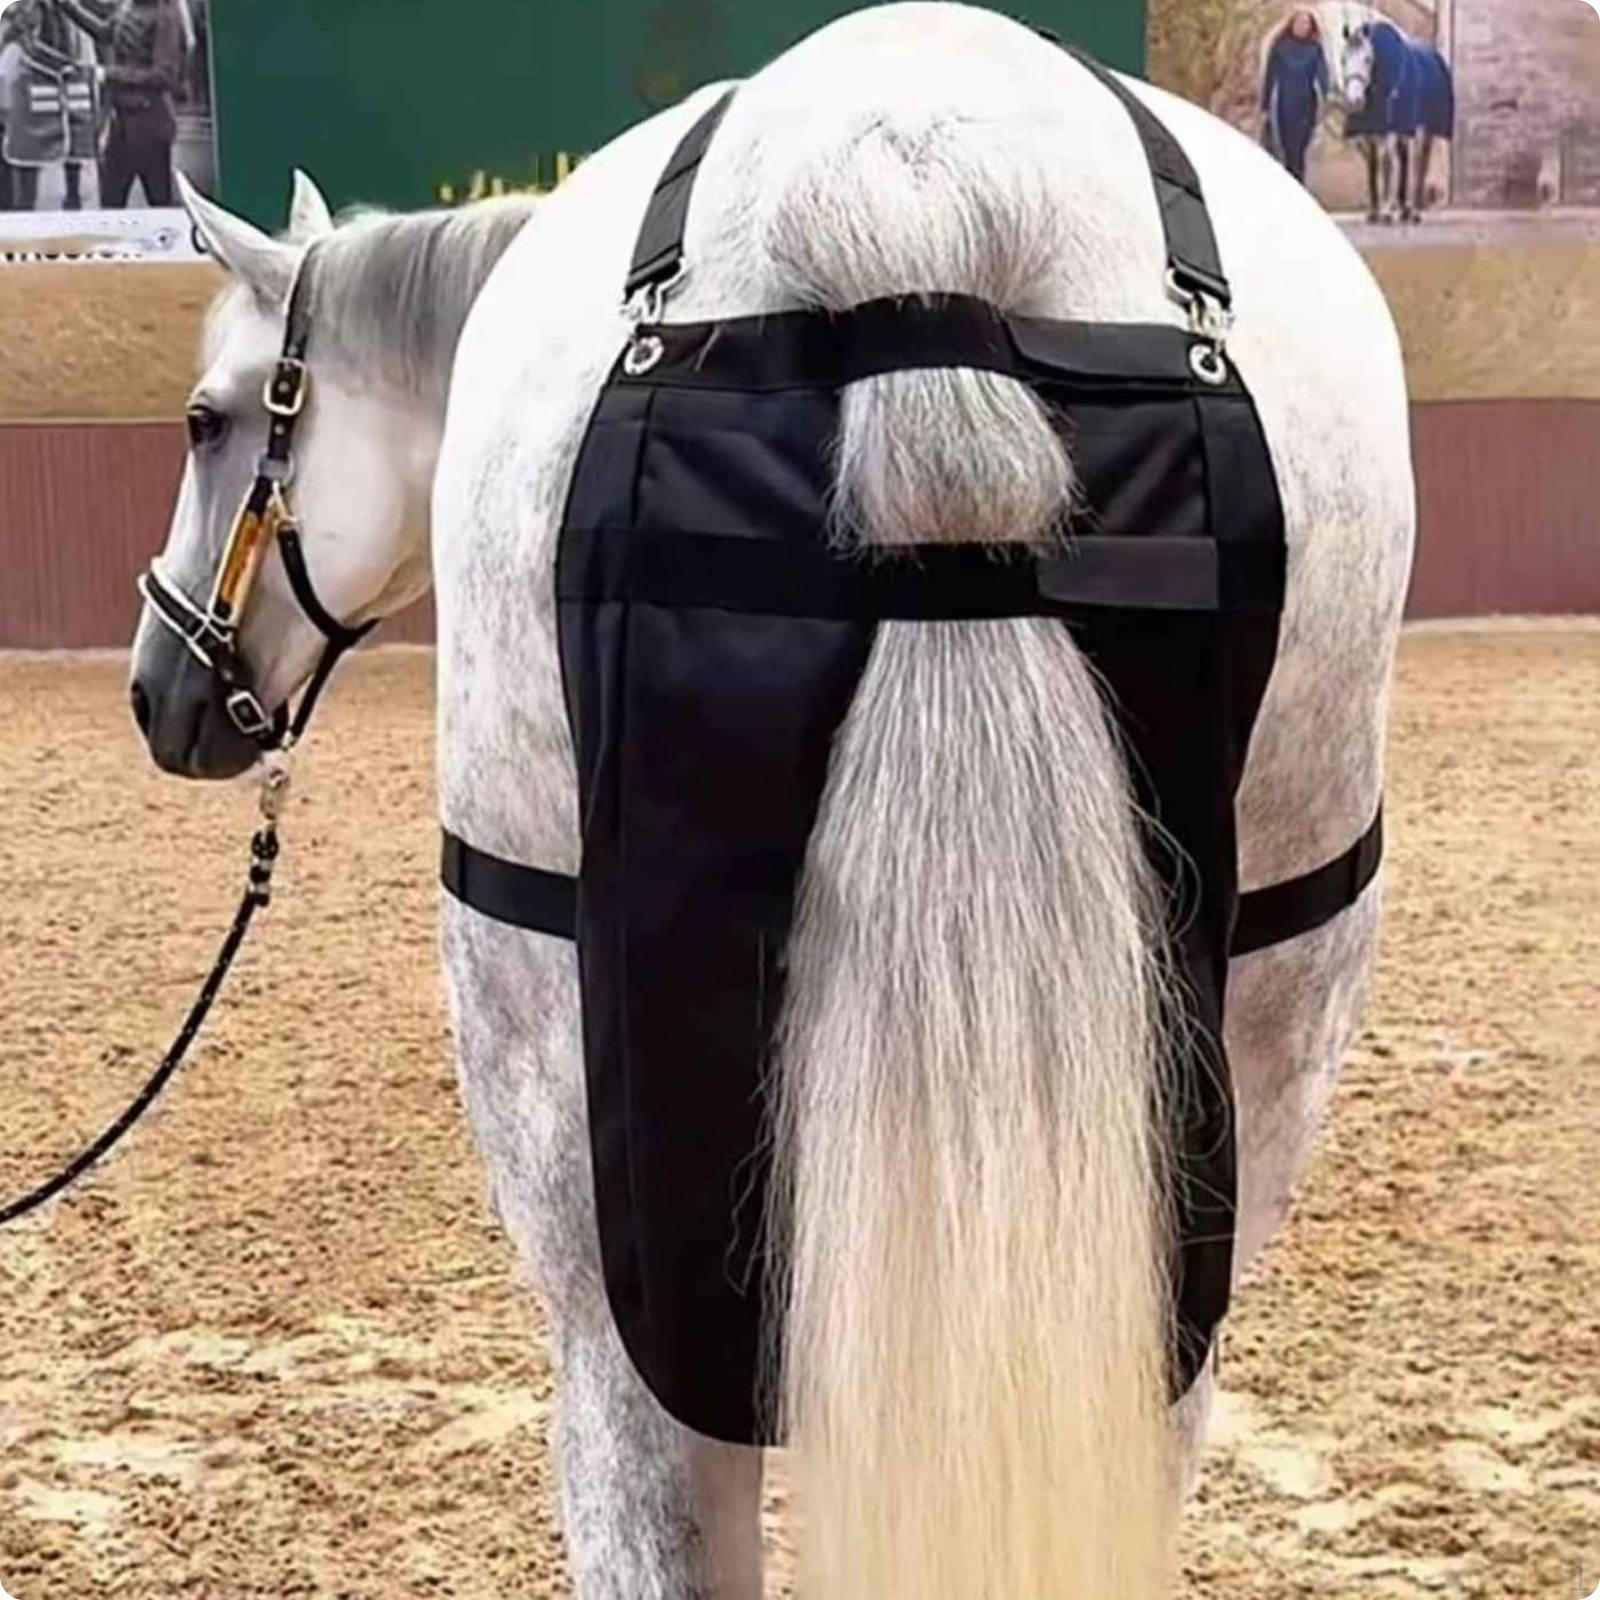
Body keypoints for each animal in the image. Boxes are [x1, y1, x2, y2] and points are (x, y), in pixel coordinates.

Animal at [1337, 11, 1454, 223]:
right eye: (1343, 59)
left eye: (1368, 59)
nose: (1355, 100)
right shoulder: (1372, 129)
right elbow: (1373, 163)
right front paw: (1374, 211)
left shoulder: (1389, 127)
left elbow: (1387, 162)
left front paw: (1385, 211)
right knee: (1405, 156)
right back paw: (1403, 208)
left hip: (1424, 127)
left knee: (1420, 161)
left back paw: (1414, 210)